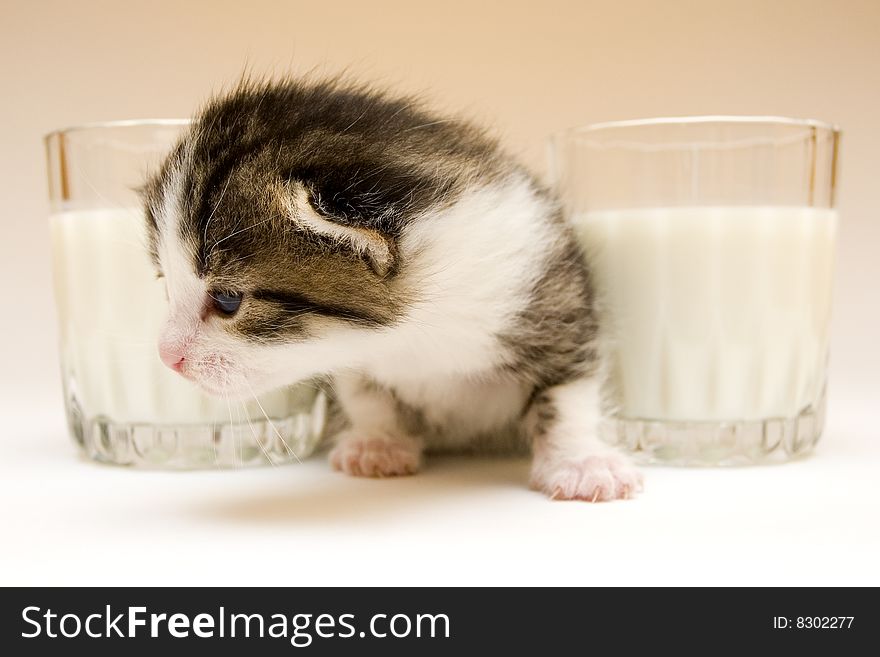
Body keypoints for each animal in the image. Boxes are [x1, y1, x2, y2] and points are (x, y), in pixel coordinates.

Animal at [143, 77, 640, 500]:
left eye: (228, 300)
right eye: (166, 286)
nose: (167, 357)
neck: (414, 332)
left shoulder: (554, 290)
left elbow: (569, 392)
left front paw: (580, 461)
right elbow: (365, 393)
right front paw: (379, 442)